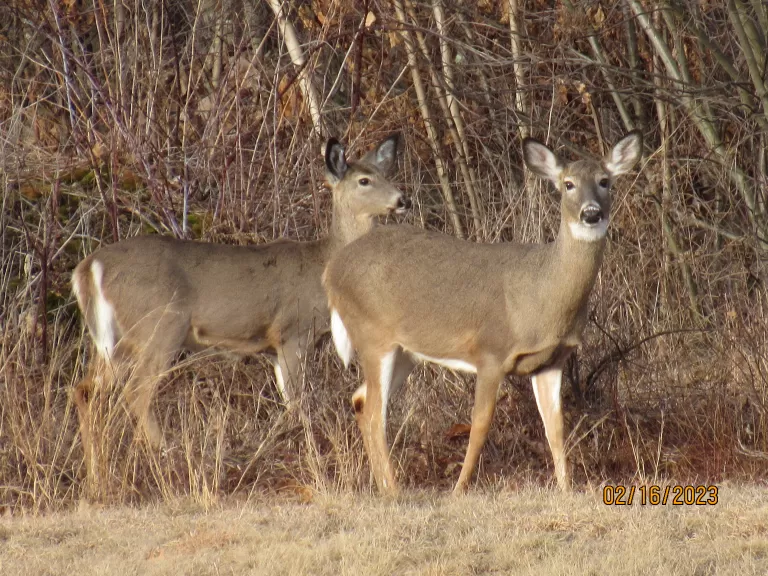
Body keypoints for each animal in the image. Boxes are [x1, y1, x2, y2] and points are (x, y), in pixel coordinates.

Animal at [72, 134, 408, 476]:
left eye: (386, 174)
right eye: (364, 180)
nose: (401, 199)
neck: (322, 264)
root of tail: (89, 267)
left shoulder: (275, 347)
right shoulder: (293, 331)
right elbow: (298, 403)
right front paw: (304, 451)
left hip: (115, 340)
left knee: (85, 390)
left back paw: (96, 471)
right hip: (160, 326)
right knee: (136, 390)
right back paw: (167, 453)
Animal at [323, 131, 643, 494]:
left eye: (605, 181)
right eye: (568, 184)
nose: (591, 214)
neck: (542, 294)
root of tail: (332, 271)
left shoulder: (551, 360)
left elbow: (556, 427)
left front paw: (566, 489)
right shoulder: (490, 351)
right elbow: (479, 423)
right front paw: (459, 489)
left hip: (405, 351)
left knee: (361, 400)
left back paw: (385, 487)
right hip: (372, 335)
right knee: (376, 412)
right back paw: (395, 489)